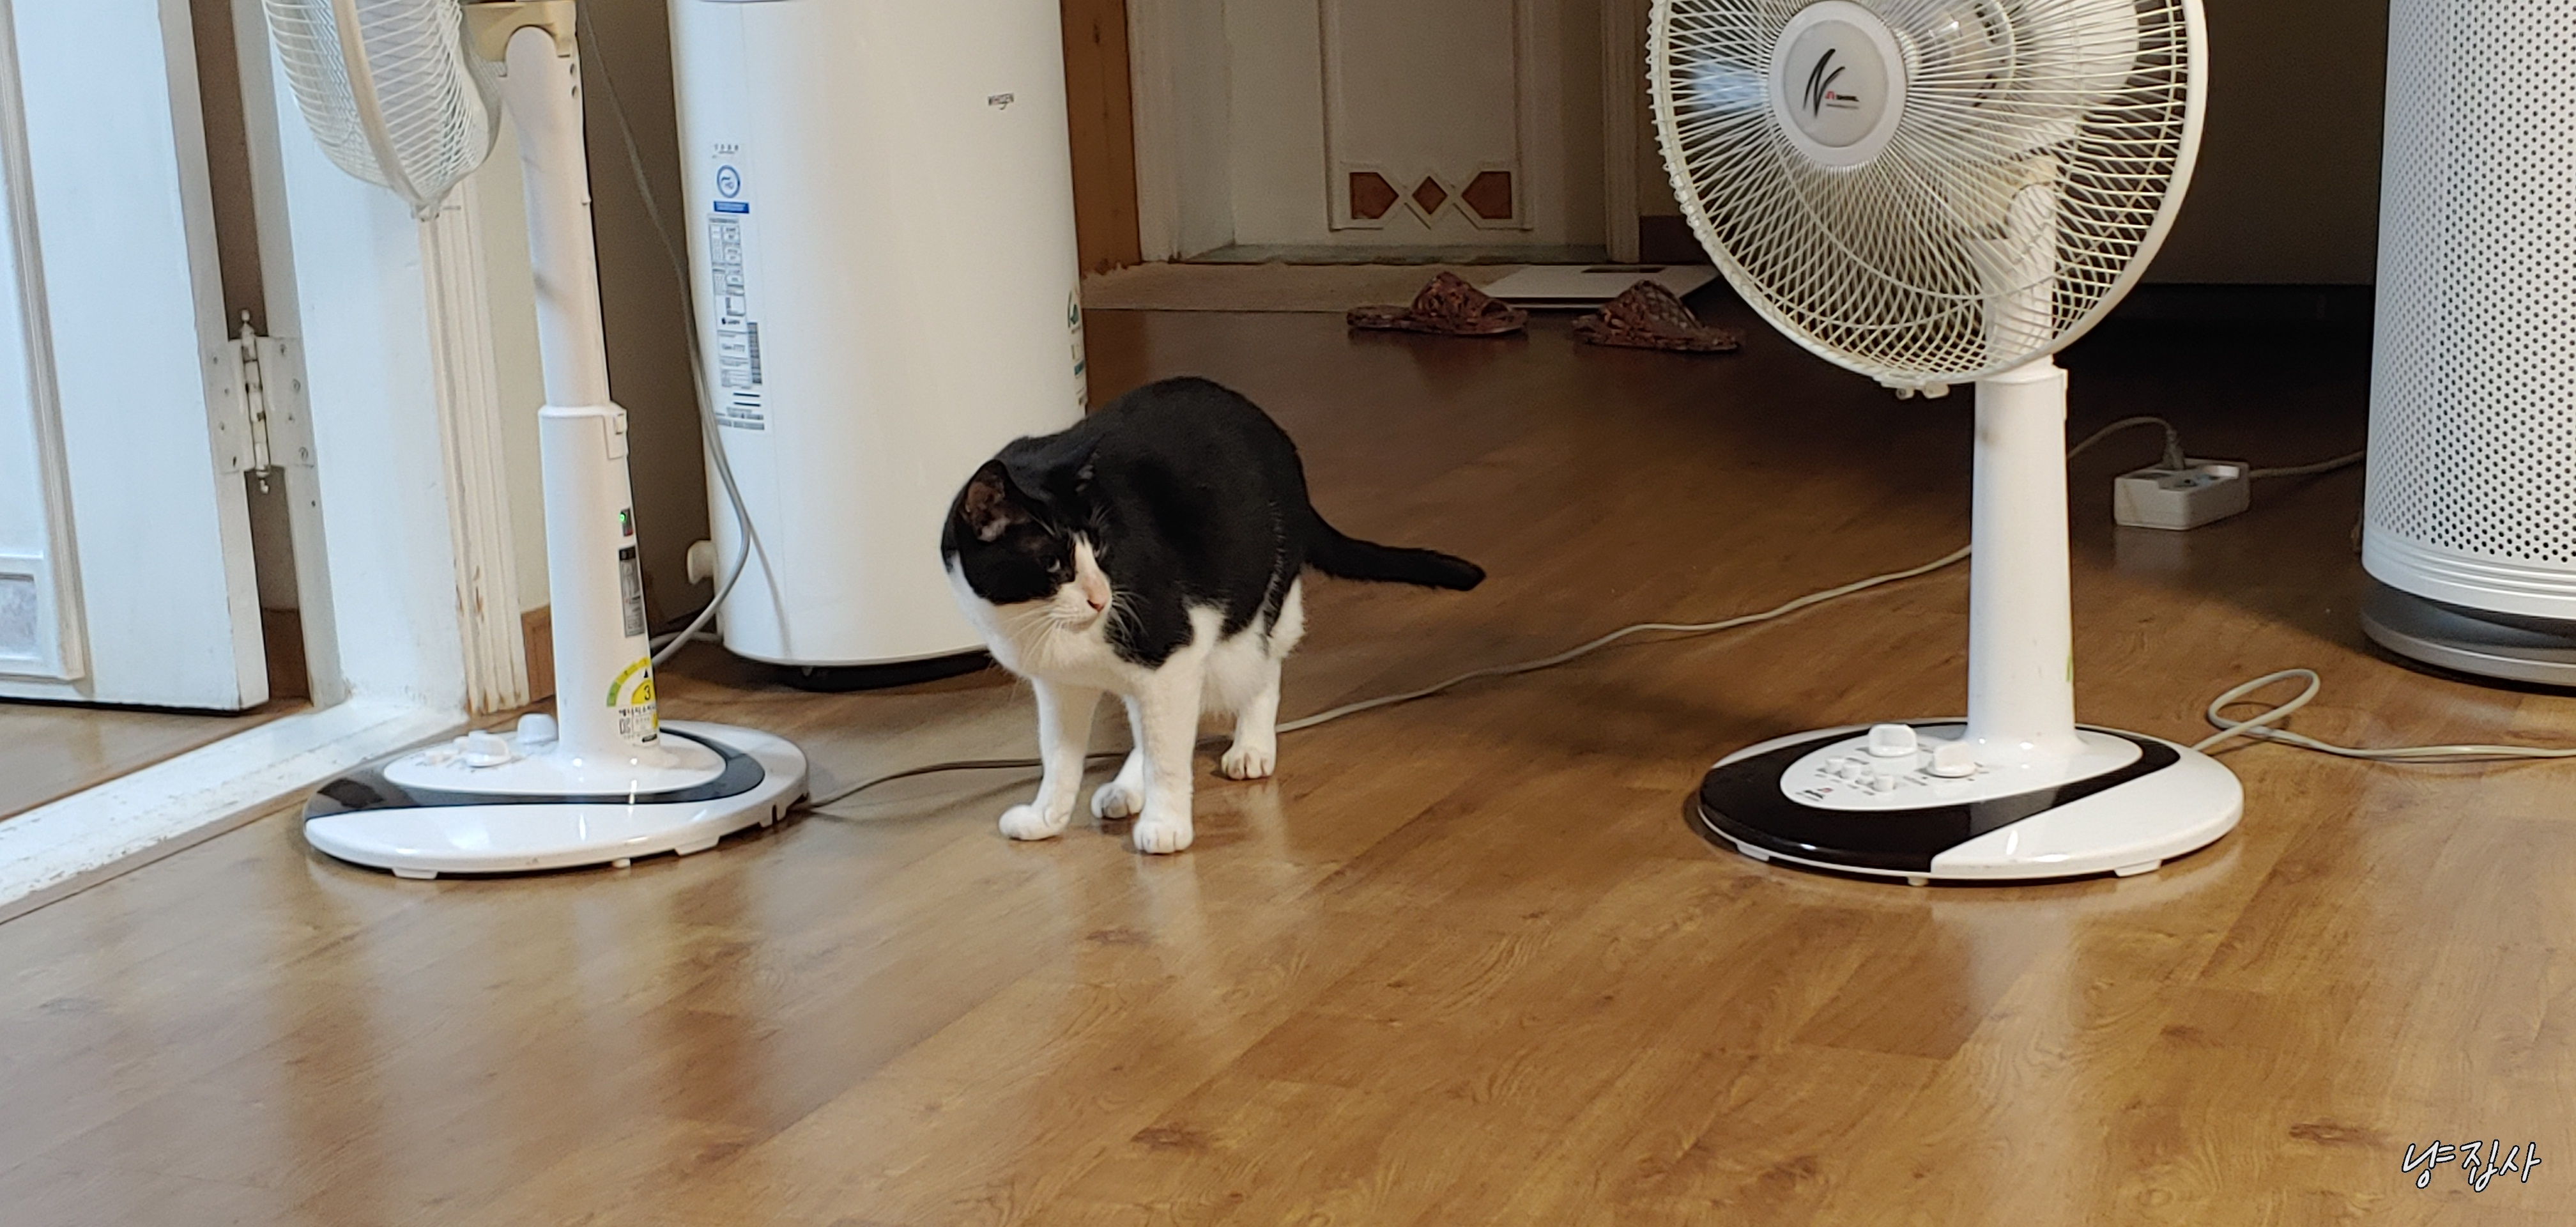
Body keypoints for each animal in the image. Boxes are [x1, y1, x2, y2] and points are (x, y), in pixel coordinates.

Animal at [941, 376, 1484, 854]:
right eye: (1055, 563)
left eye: (1100, 548)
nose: (1101, 598)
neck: (1033, 622)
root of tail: (1271, 429)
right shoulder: (1059, 685)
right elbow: (1060, 758)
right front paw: (1045, 818)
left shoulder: (1171, 648)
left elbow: (1168, 755)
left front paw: (1166, 825)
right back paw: (1126, 787)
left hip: (1260, 599)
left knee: (1261, 670)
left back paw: (1251, 748)